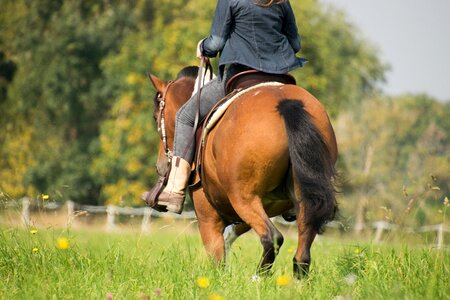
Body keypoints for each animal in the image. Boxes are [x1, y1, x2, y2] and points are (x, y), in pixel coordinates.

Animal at [148, 65, 338, 278]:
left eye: (156, 117)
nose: (159, 165)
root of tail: (285, 102)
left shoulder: (208, 217)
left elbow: (217, 257)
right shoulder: (264, 206)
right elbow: (231, 235)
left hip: (243, 198)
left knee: (272, 237)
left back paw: (257, 278)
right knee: (302, 253)